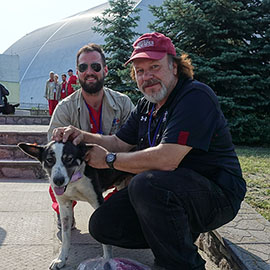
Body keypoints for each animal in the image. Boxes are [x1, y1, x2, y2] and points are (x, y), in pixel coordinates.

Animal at [17, 140, 131, 270]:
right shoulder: (64, 206)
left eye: (69, 159)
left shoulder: (98, 202)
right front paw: (61, 259)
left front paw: (107, 261)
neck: (74, 181)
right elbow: (65, 237)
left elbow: (105, 244)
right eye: (50, 160)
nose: (58, 180)